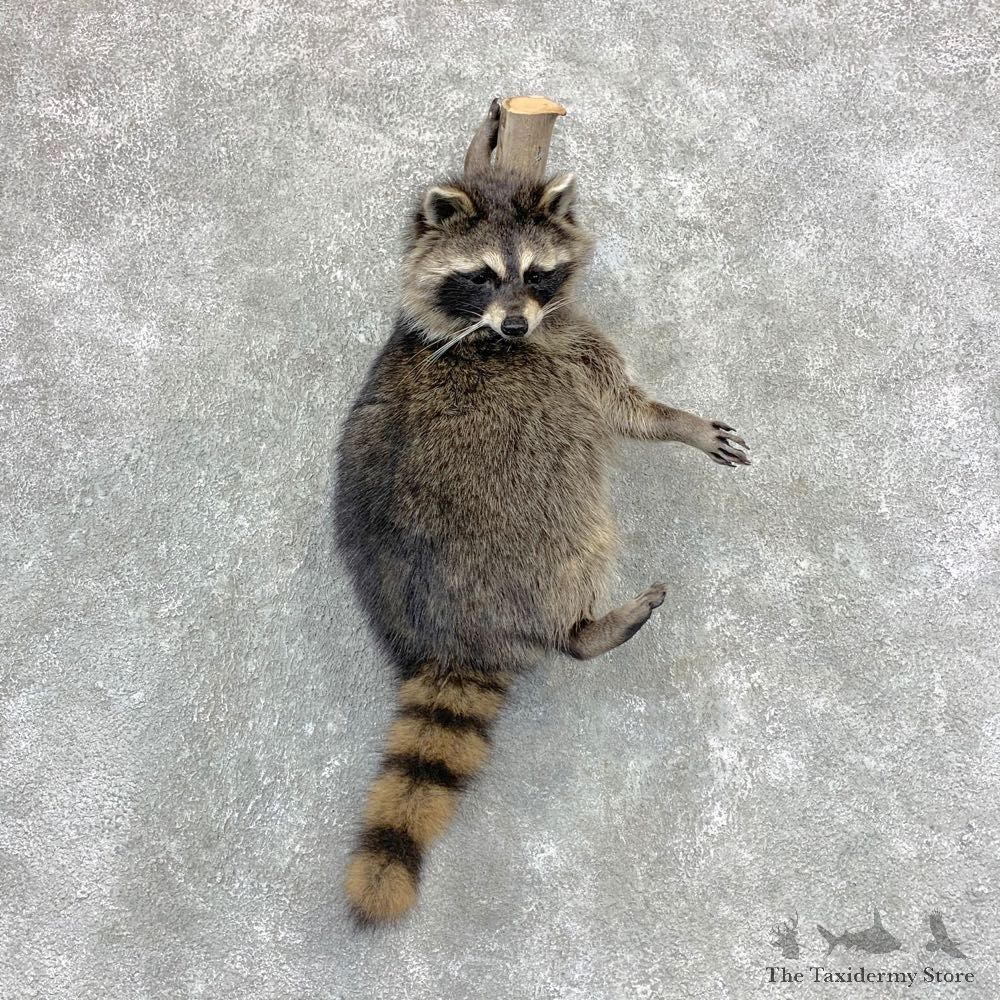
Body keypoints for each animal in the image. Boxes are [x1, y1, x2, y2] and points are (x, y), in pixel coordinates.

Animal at [334, 100, 750, 926]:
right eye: (481, 277)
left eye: (534, 271)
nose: (516, 328)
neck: (490, 334)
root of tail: (453, 638)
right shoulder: (569, 350)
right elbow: (625, 410)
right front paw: (677, 423)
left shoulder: (554, 327)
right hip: (538, 533)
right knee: (579, 555)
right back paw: (586, 628)